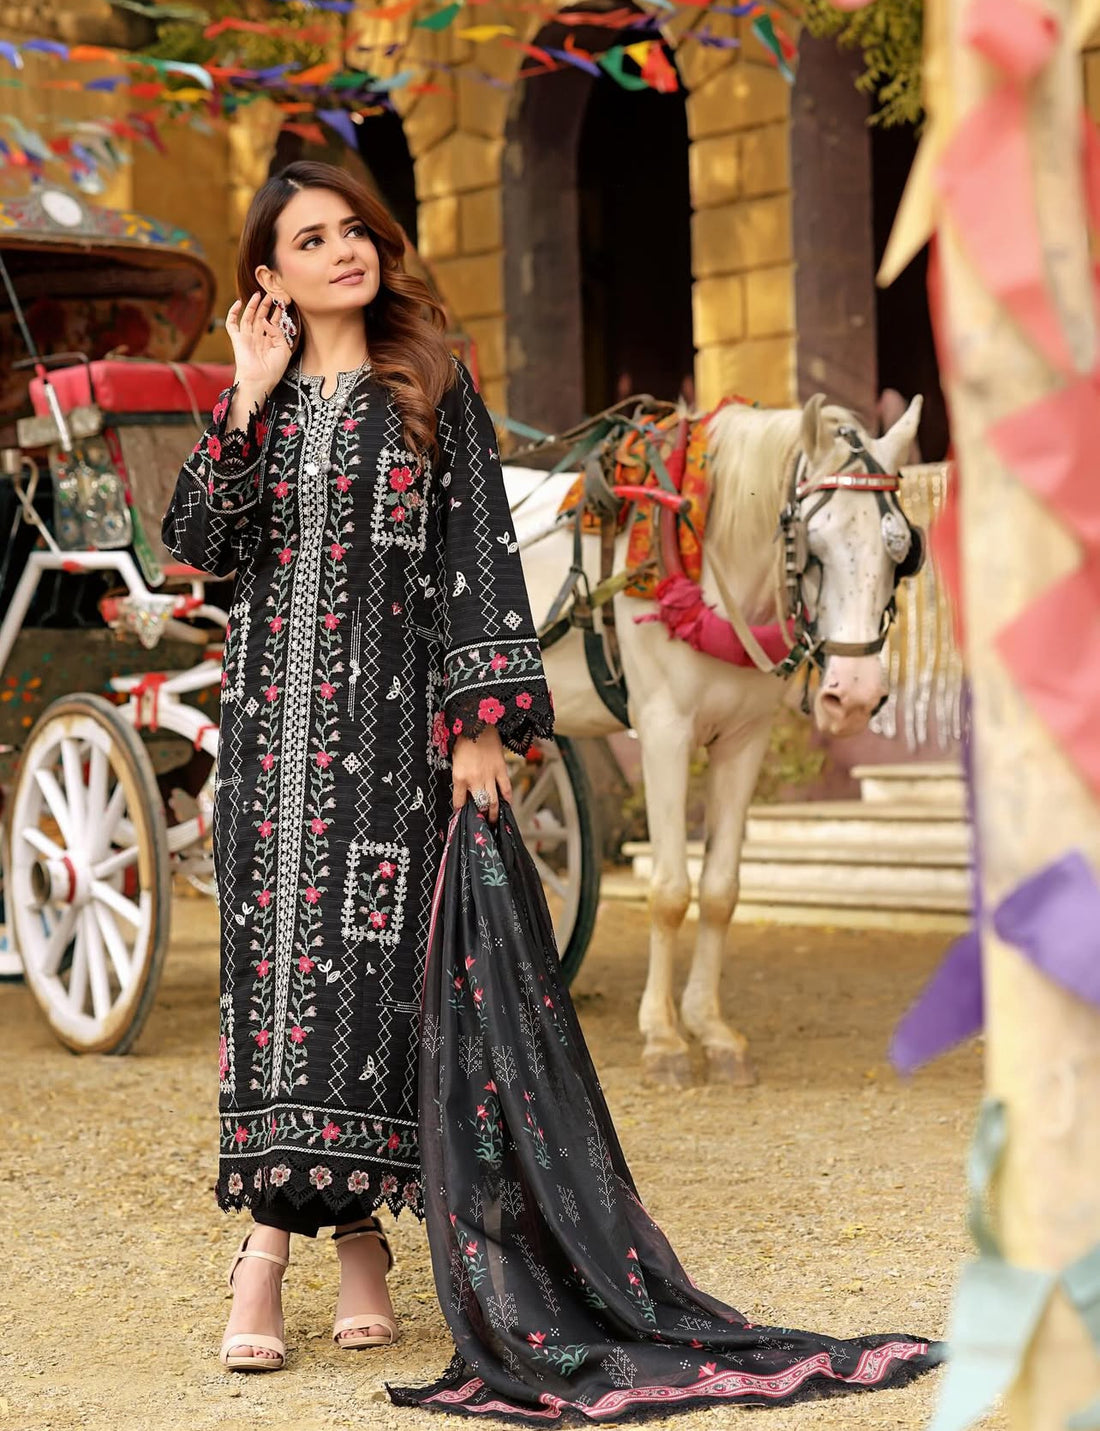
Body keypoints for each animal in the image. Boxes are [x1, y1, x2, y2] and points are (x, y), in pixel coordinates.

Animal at [502, 391, 925, 1087]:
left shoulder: (744, 741)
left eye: (901, 552)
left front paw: (712, 1030)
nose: (856, 695)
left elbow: (722, 891)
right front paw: (664, 1039)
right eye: (813, 546)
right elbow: (671, 891)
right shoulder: (663, 732)